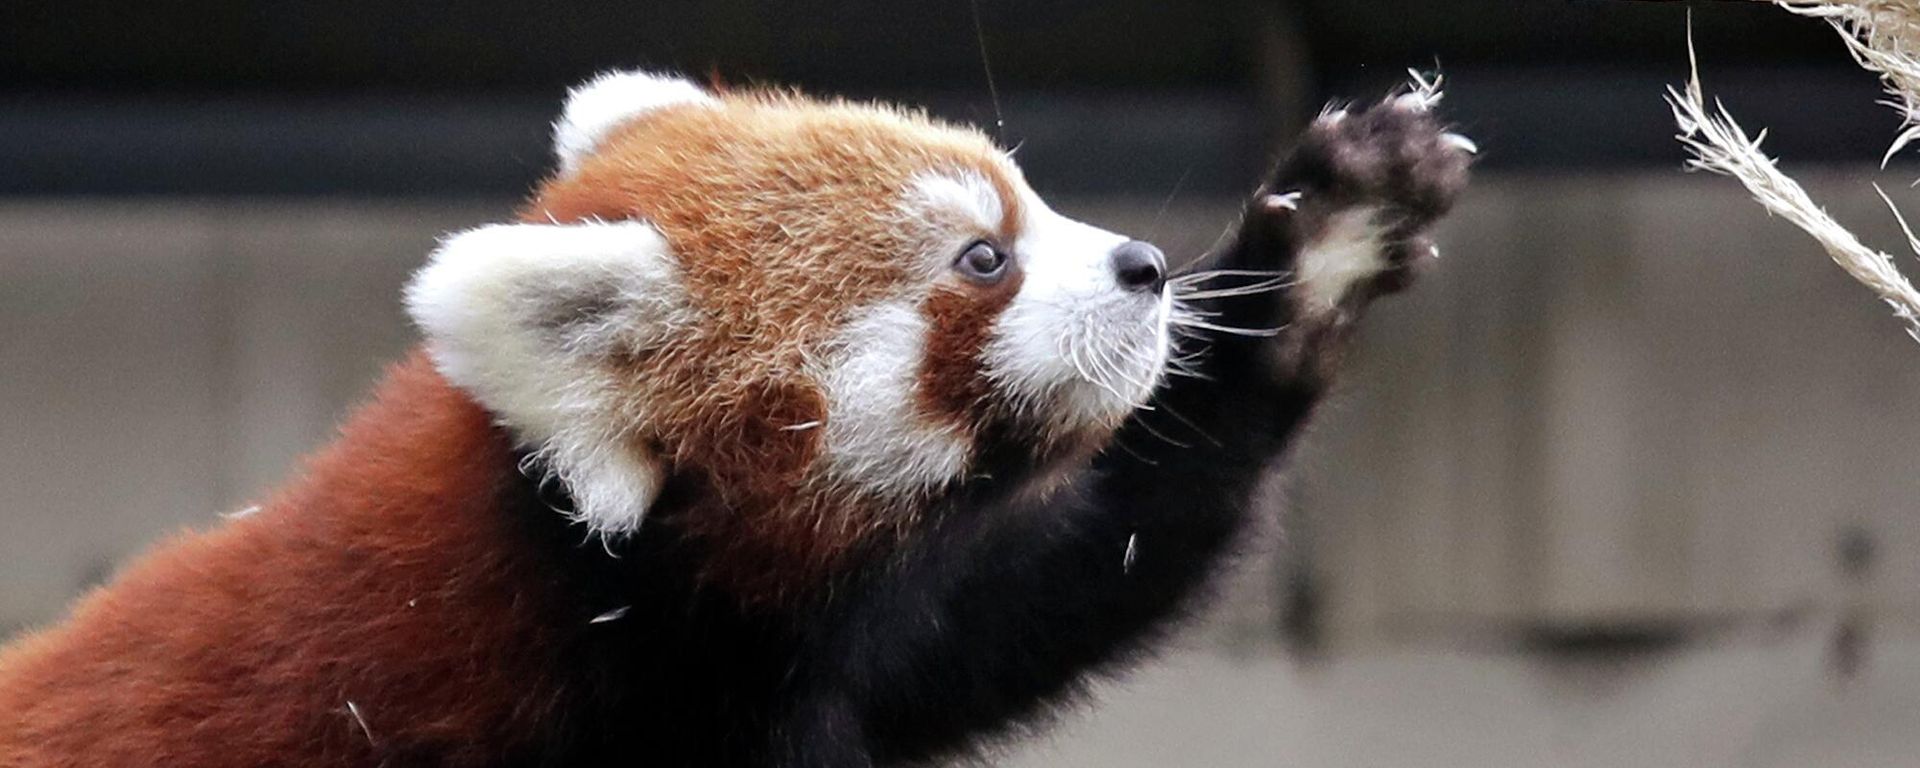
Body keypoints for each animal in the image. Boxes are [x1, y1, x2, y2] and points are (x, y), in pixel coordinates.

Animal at [0, 71, 1471, 767]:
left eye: (1030, 201)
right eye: (980, 259)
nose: (1145, 269)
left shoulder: (847, 659)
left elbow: (1032, 604)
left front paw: (1315, 247)